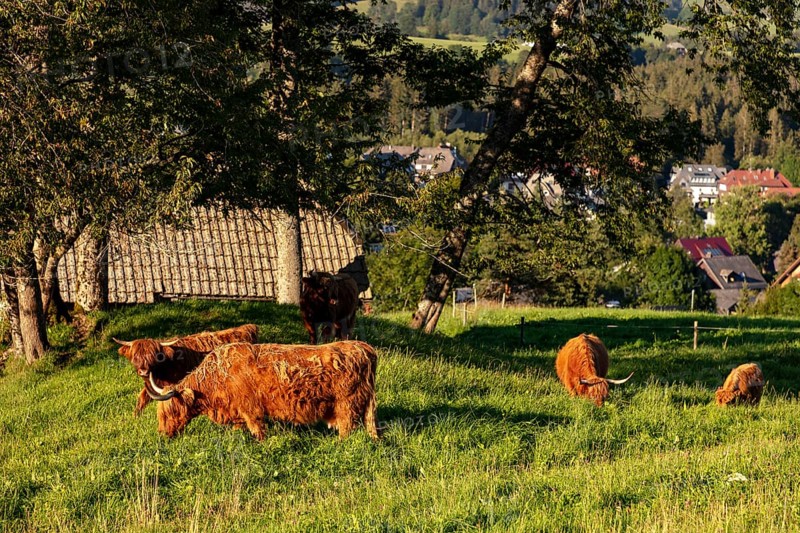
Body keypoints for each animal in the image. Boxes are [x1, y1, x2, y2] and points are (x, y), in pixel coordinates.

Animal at [146, 340, 379, 440]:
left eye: (170, 411)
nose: (162, 435)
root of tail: (364, 347)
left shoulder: (251, 409)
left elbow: (258, 431)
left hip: (346, 404)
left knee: (347, 428)